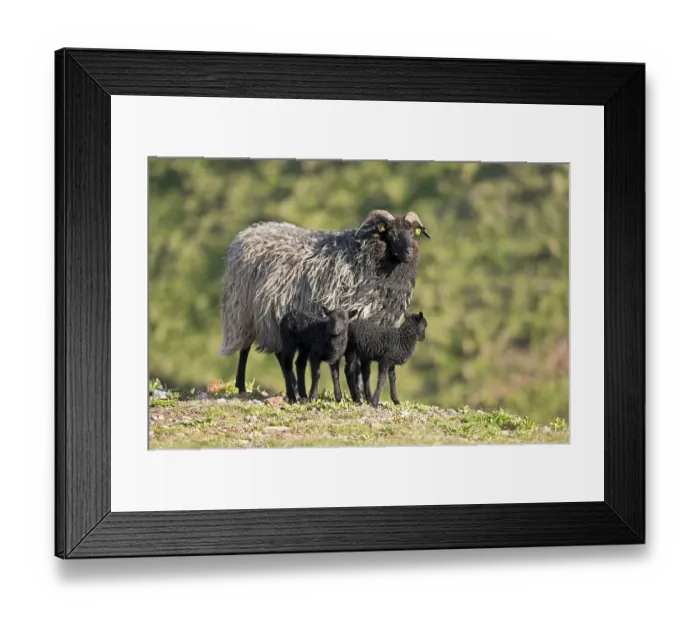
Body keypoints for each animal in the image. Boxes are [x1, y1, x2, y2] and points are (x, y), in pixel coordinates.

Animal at [220, 210, 430, 394]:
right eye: (391, 233)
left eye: (412, 233)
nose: (408, 252)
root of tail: (244, 236)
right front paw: (359, 393)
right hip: (245, 311)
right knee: (247, 348)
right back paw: (241, 386)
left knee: (279, 353)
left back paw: (293, 387)